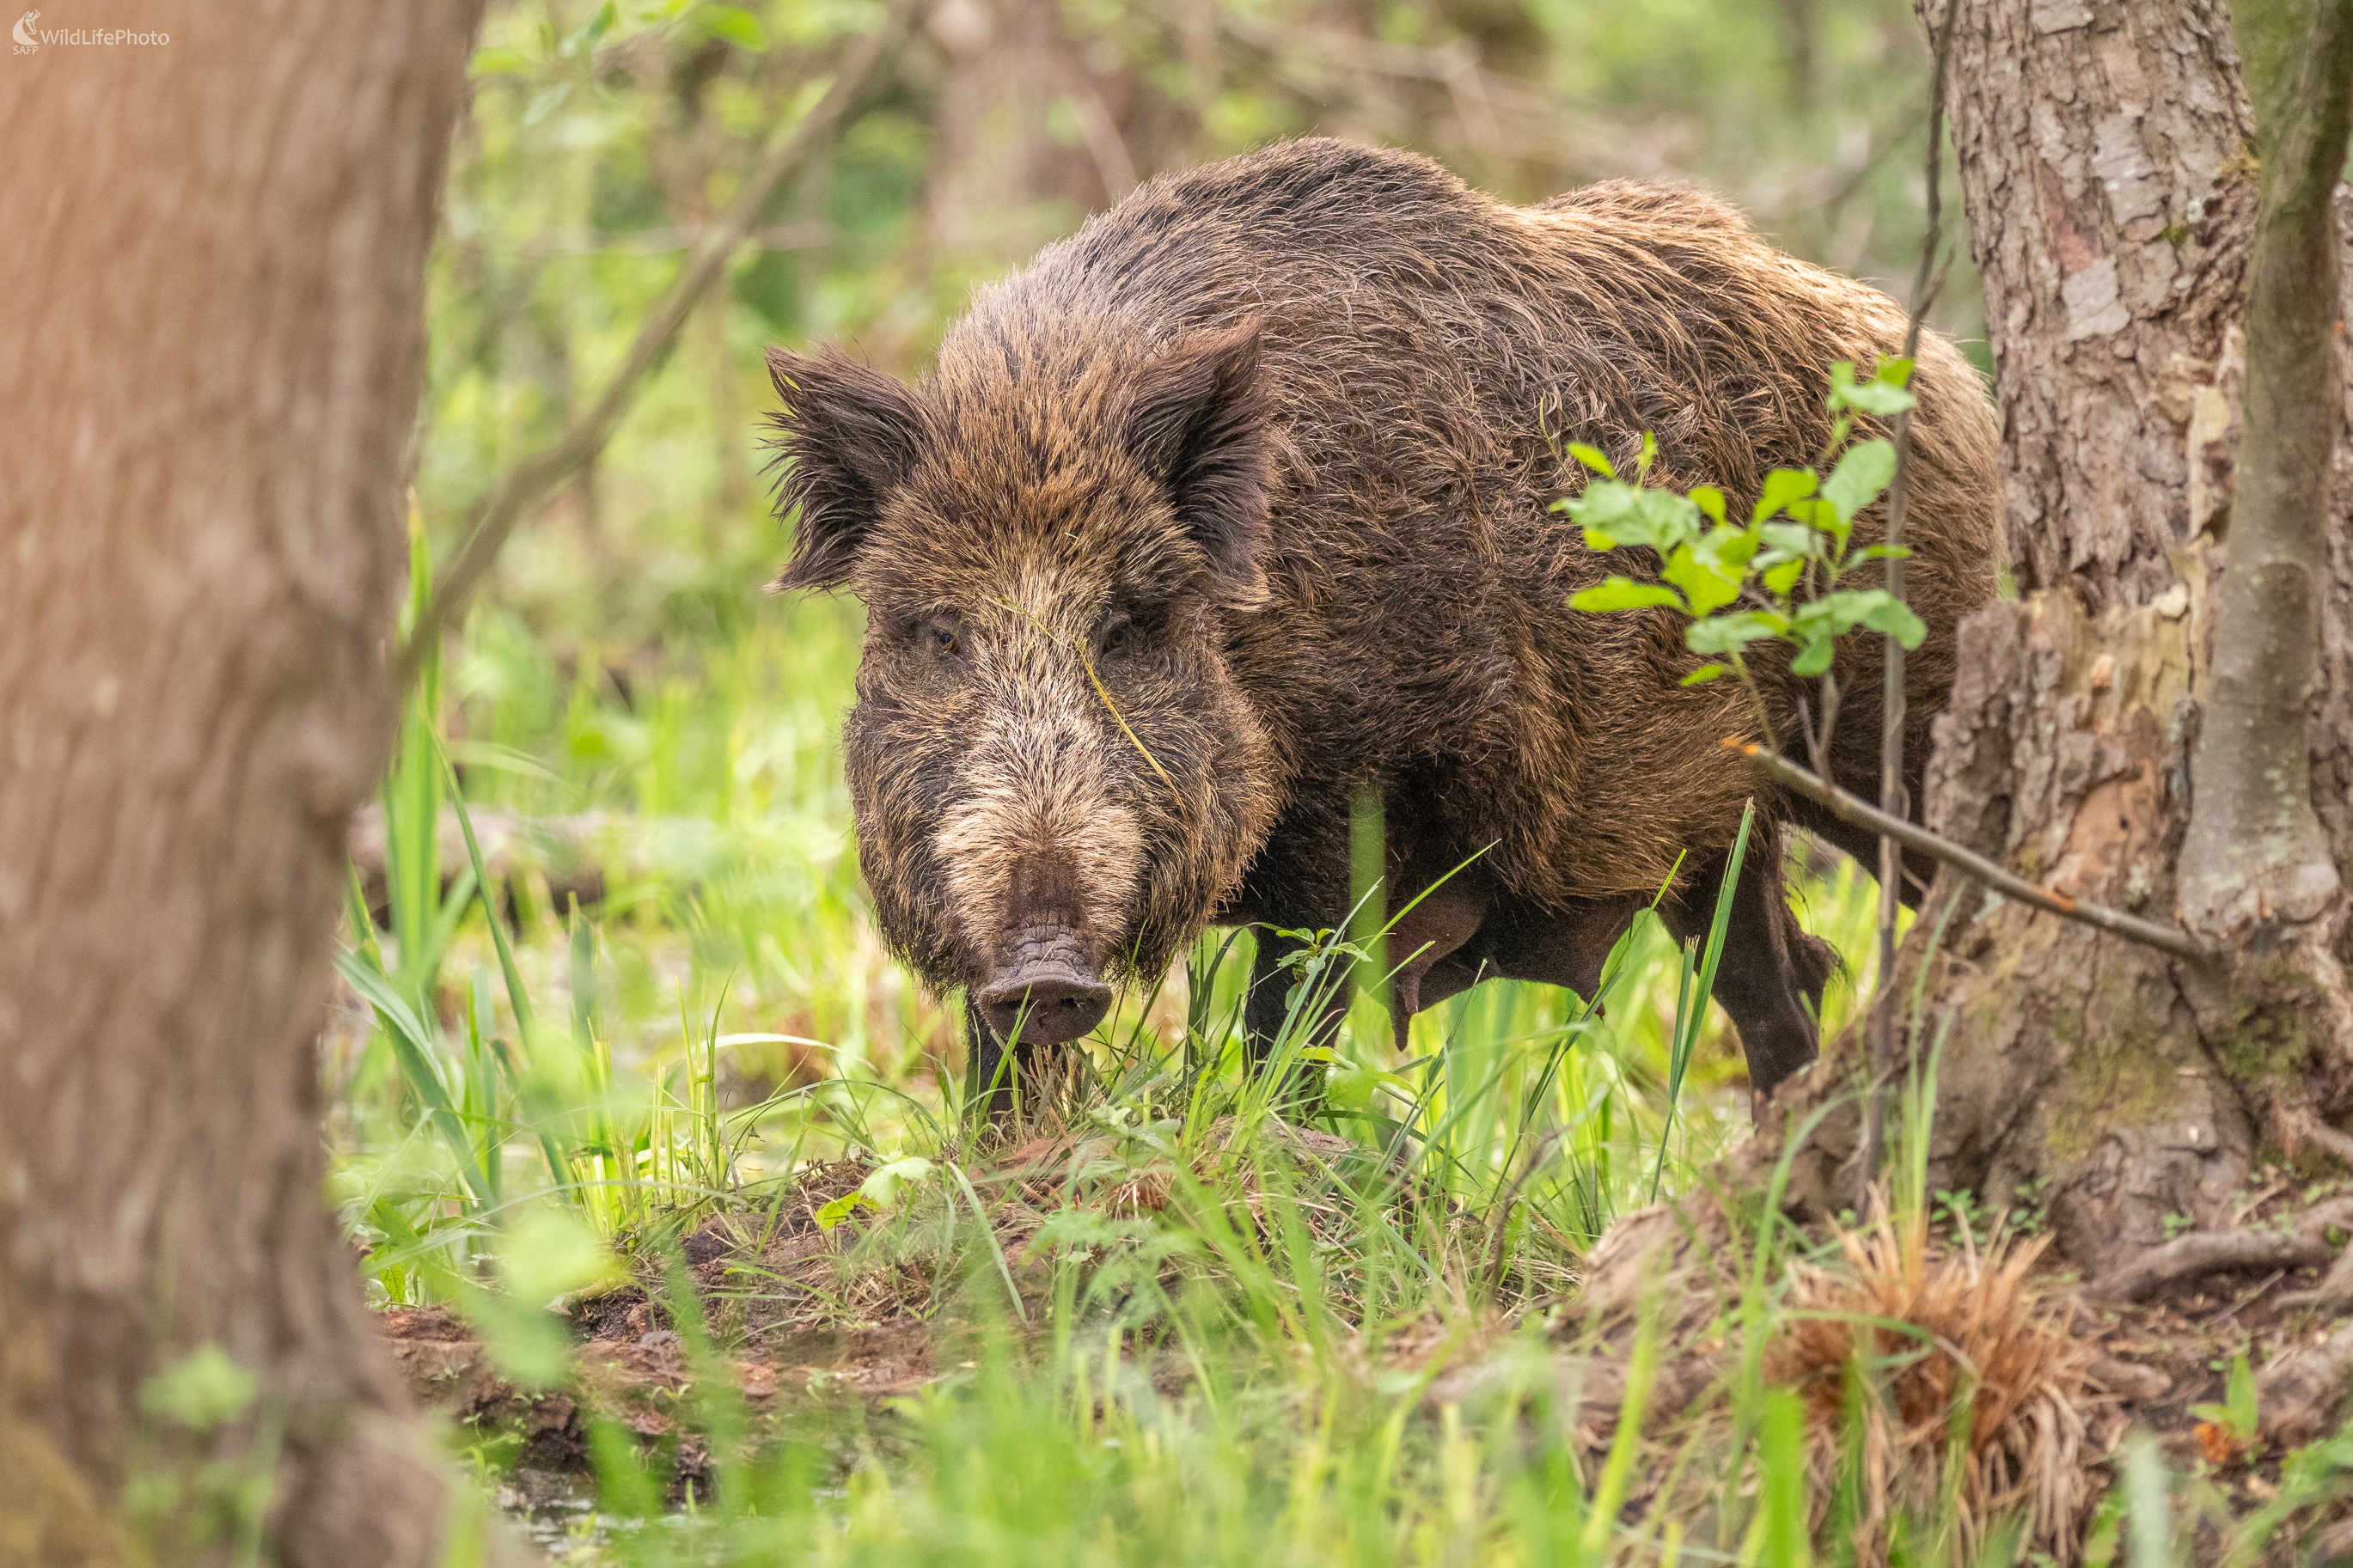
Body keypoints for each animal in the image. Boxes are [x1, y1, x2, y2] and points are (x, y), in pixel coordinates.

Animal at [763, 137, 2001, 1115]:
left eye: (1132, 624)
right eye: (935, 631)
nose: (1046, 969)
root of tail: (1947, 375)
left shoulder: (1362, 776)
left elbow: (1292, 1008)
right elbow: (995, 1051)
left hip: (1905, 699)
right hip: (1725, 821)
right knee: (1780, 979)